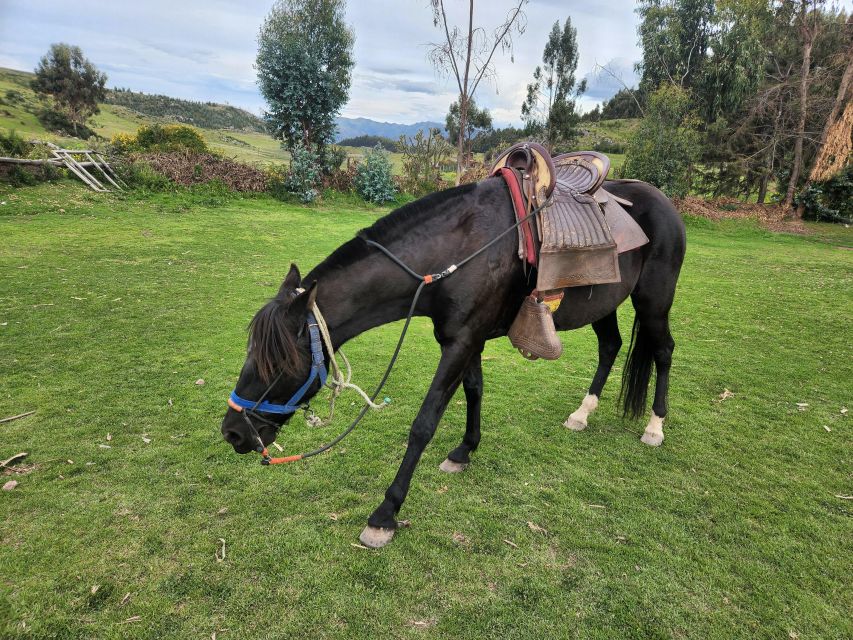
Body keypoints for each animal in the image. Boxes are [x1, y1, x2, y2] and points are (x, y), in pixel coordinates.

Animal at [220, 175, 684, 544]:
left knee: (663, 350)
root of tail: (665, 204)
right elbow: (474, 390)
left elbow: (424, 422)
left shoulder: (461, 342)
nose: (233, 433)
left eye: (276, 363)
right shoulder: (465, 339)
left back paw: (655, 426)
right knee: (610, 346)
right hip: (604, 303)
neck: (458, 252)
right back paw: (582, 414)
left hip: (653, 301)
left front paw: (385, 514)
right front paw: (465, 450)